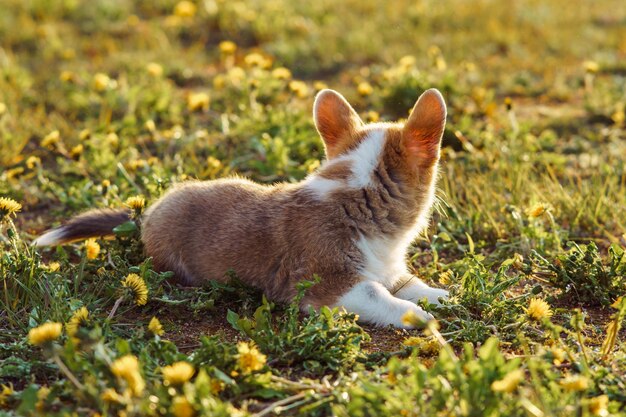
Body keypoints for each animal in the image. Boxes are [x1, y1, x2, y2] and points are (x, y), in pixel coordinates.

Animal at [34, 88, 446, 328]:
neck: (357, 192)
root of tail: (145, 215)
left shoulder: (391, 269)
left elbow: (410, 284)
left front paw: (442, 296)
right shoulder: (334, 287)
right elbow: (382, 296)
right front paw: (422, 318)